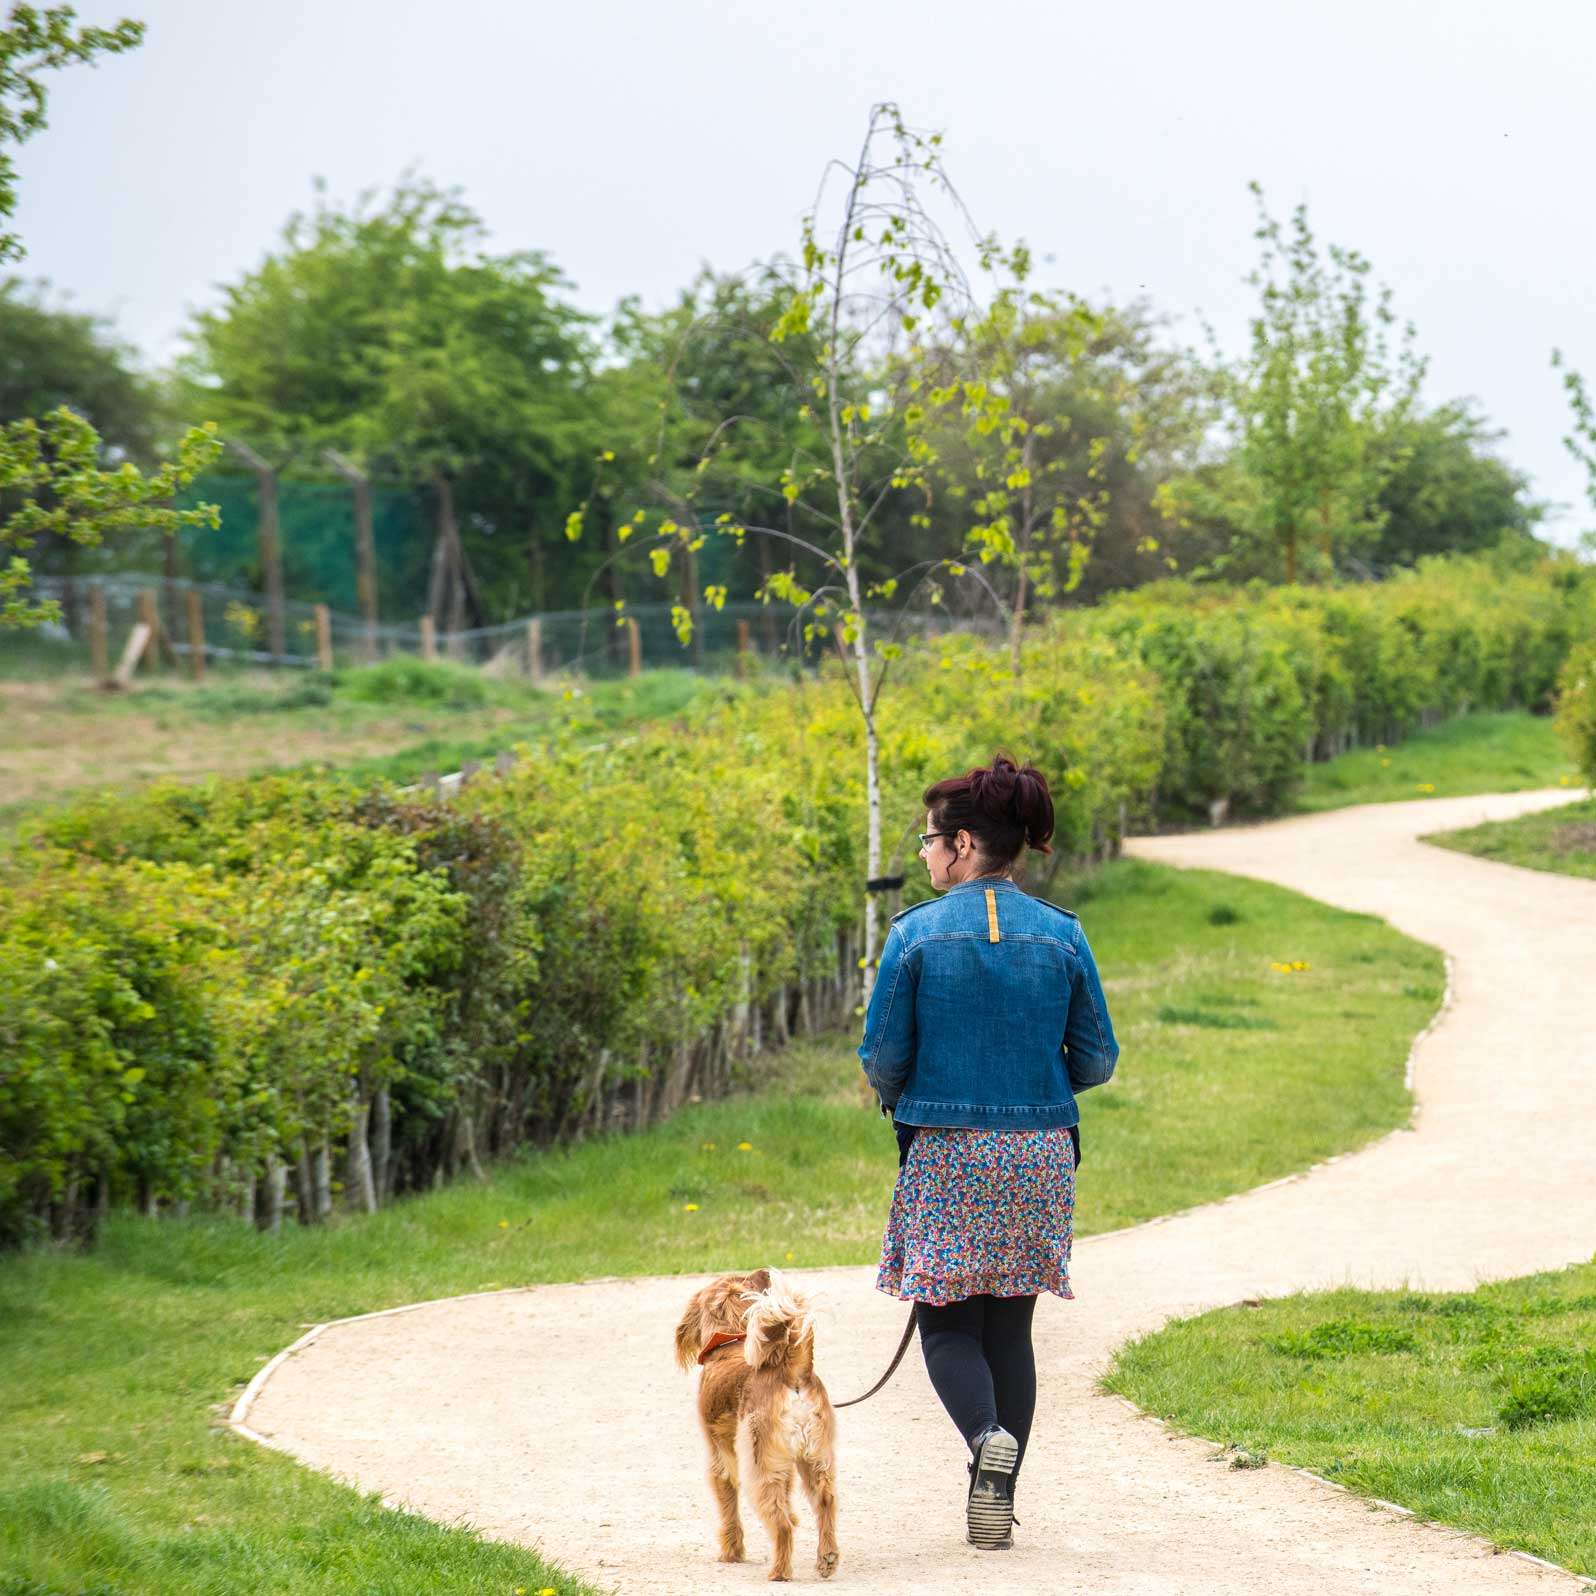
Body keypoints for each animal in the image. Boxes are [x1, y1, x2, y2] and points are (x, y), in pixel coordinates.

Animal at [673, 1264, 842, 1576]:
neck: (728, 1344)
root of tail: (792, 1371)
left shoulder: (720, 1458)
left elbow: (728, 1507)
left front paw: (731, 1551)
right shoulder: (785, 1463)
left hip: (758, 1462)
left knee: (781, 1521)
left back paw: (779, 1572)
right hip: (815, 1457)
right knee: (825, 1501)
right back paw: (826, 1557)